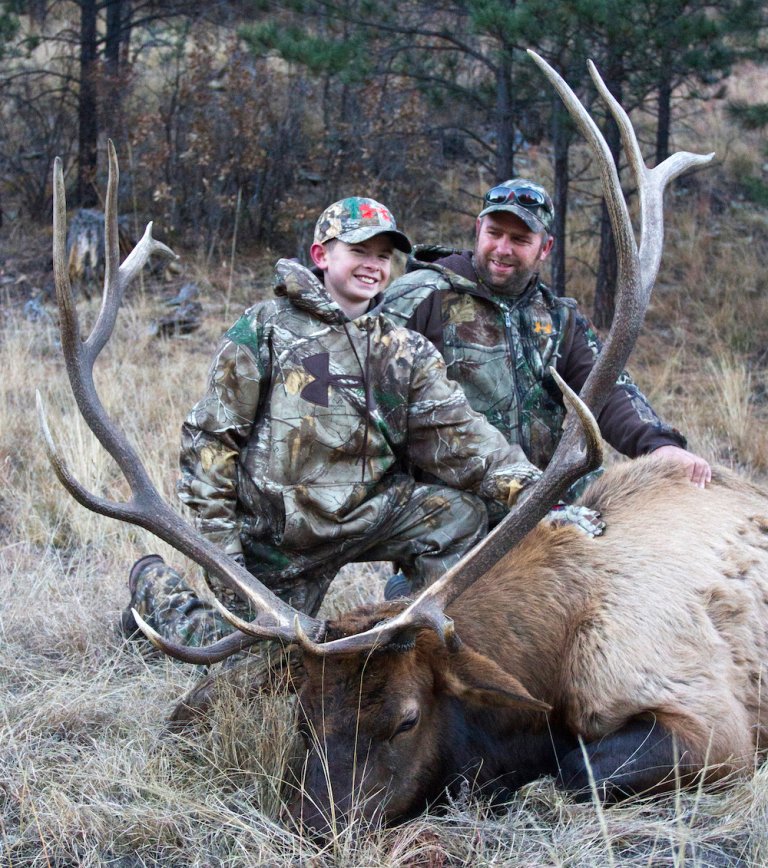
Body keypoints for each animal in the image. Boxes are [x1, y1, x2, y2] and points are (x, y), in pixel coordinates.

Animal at [38, 52, 768, 835]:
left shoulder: (712, 722)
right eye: (303, 715)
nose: (317, 825)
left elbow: (573, 771)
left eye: (407, 719)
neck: (558, 647)